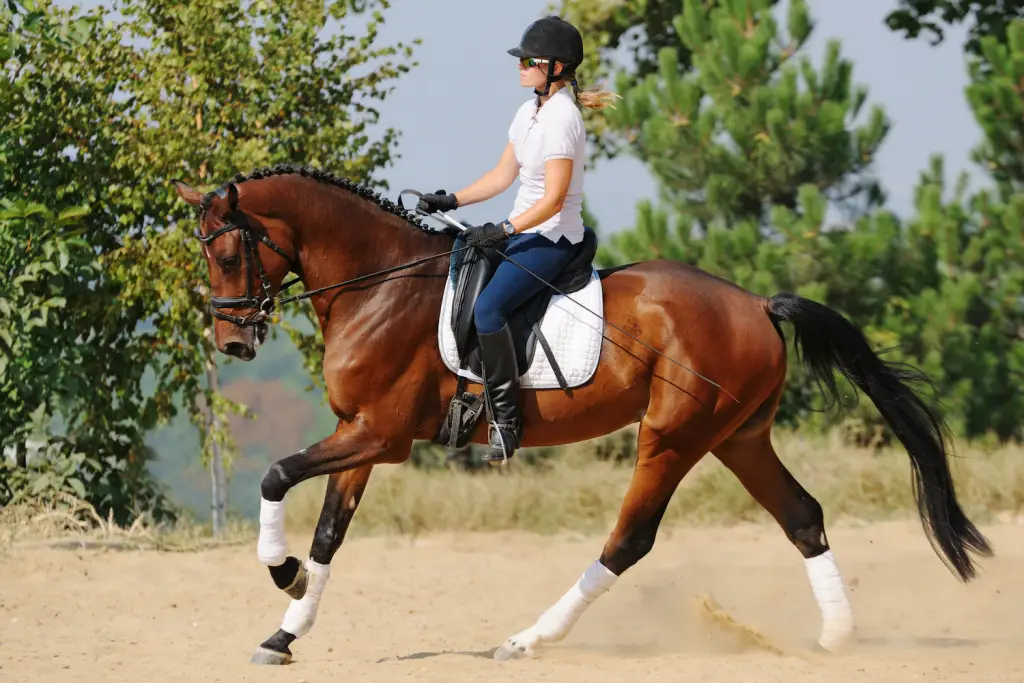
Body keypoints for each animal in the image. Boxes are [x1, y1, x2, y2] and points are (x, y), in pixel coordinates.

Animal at [173, 164, 992, 665]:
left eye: (229, 254)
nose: (232, 341)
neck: (378, 285)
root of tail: (757, 304)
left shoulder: (378, 435)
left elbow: (277, 477)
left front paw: (282, 575)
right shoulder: (362, 437)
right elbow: (329, 533)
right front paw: (285, 631)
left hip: (672, 436)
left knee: (629, 539)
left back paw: (528, 639)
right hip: (738, 438)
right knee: (803, 515)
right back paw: (834, 638)